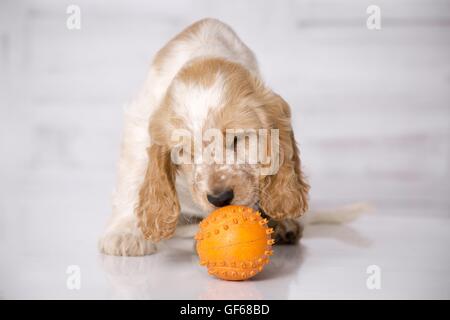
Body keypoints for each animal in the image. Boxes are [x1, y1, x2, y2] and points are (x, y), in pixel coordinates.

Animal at [98, 18, 310, 256]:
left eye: (236, 140)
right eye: (185, 152)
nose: (220, 198)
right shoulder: (141, 121)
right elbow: (133, 173)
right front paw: (125, 233)